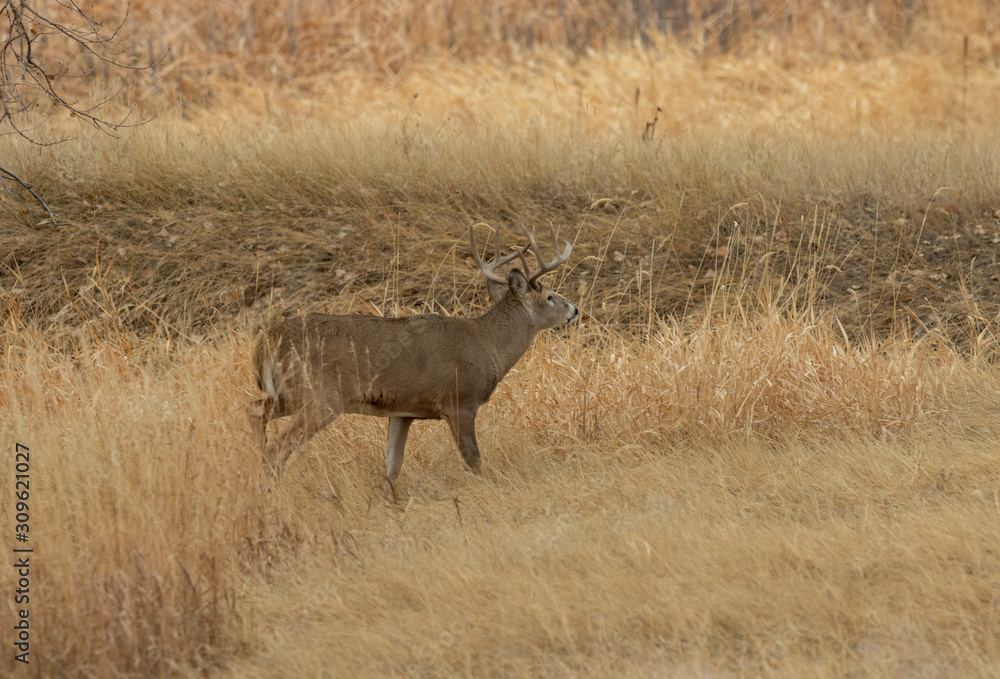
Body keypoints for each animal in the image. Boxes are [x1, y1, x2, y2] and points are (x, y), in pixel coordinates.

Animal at [246, 223, 580, 494]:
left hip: (289, 393)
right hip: (321, 396)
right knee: (278, 446)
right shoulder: (460, 400)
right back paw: (270, 493)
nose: (574, 310)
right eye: (550, 296)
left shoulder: (402, 411)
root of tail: (267, 339)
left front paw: (389, 504)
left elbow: (392, 466)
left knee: (254, 413)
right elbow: (473, 461)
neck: (488, 343)